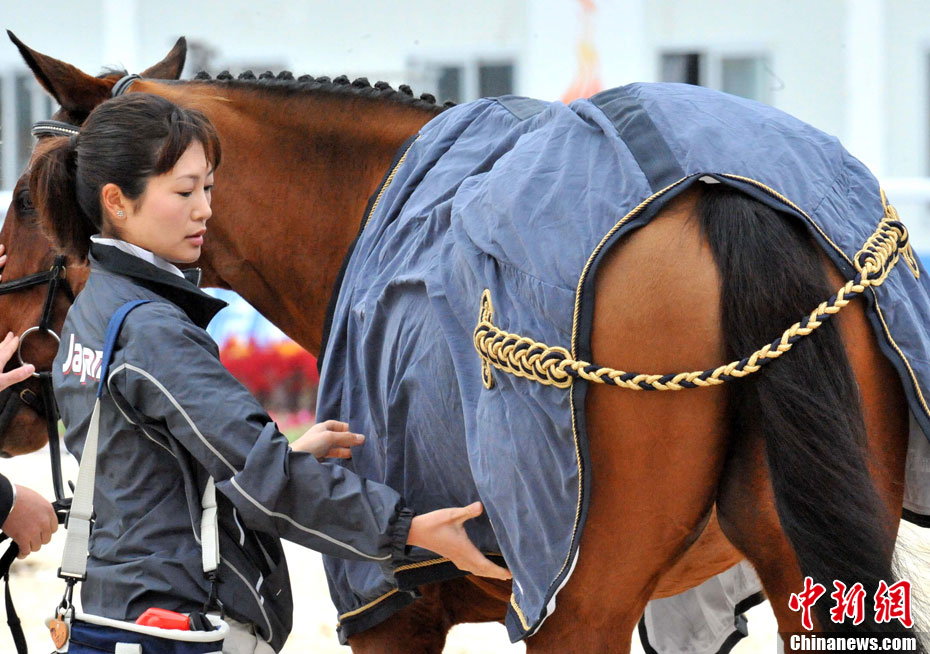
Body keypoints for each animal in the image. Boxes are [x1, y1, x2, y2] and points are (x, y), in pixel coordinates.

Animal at [0, 33, 923, 653]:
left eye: (25, 200)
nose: (8, 372)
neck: (368, 210)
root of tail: (711, 187)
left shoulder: (396, 614)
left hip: (580, 603)